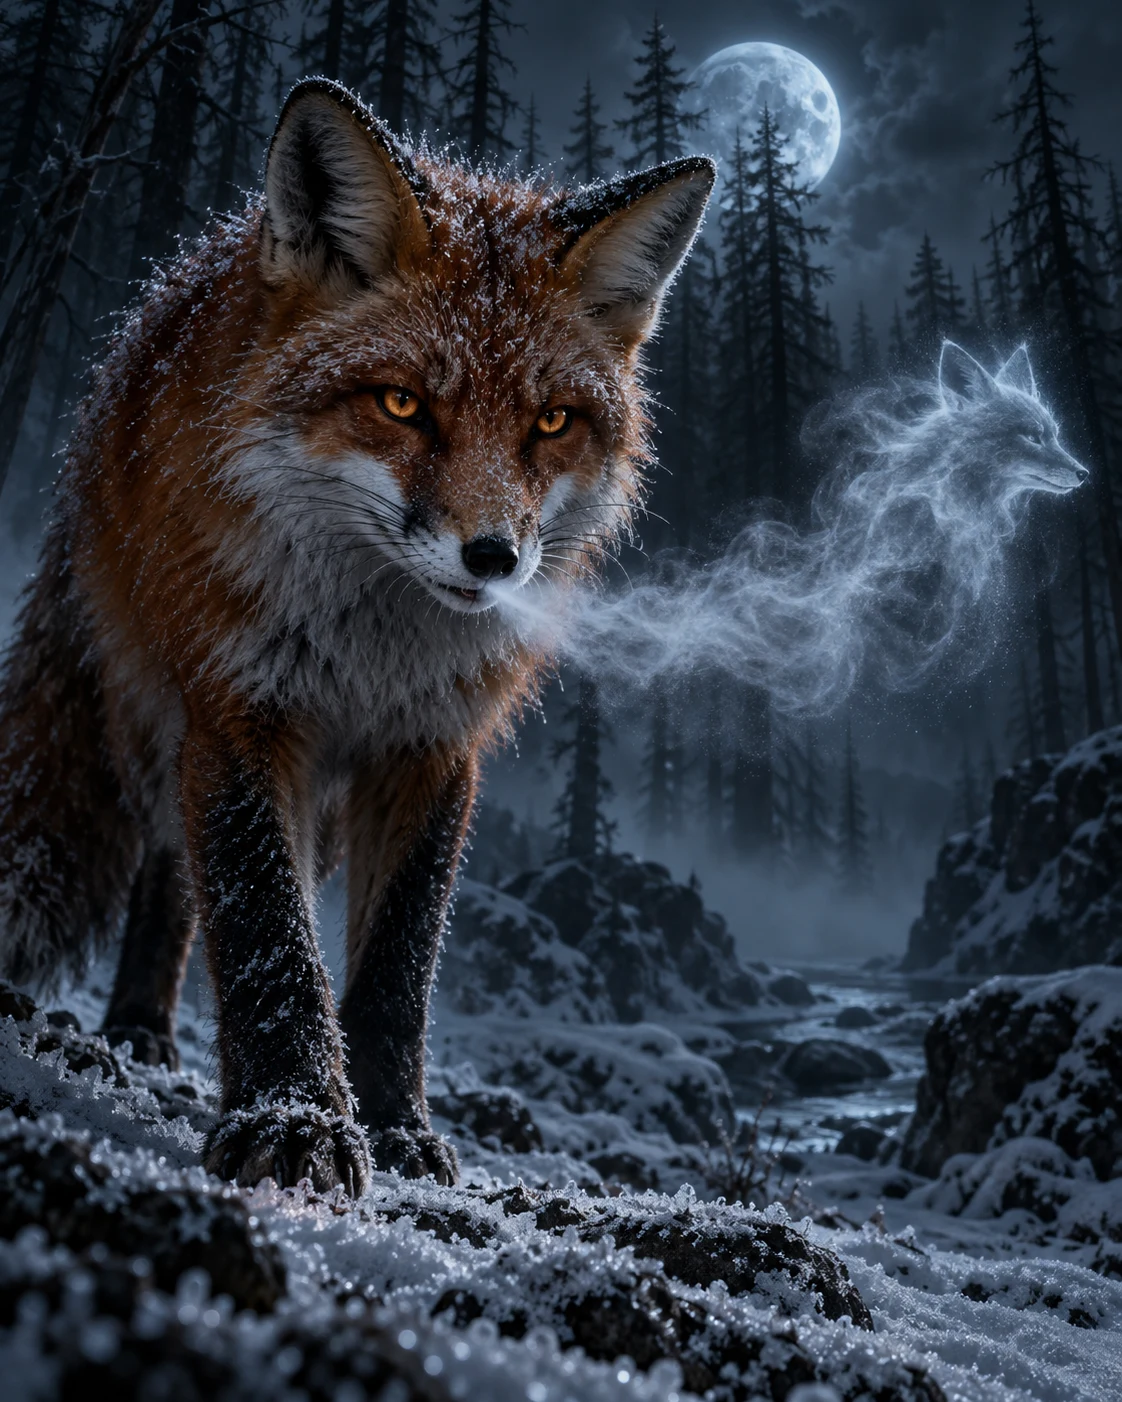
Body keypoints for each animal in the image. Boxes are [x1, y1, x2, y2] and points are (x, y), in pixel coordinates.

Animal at [0, 79, 715, 1195]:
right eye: (402, 403)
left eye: (552, 423)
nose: (493, 558)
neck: (375, 652)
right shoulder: (241, 708)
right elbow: (265, 927)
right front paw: (293, 1117)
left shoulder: (435, 744)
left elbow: (396, 965)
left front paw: (394, 1125)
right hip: (156, 712)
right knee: (170, 860)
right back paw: (140, 1027)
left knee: (170, 872)